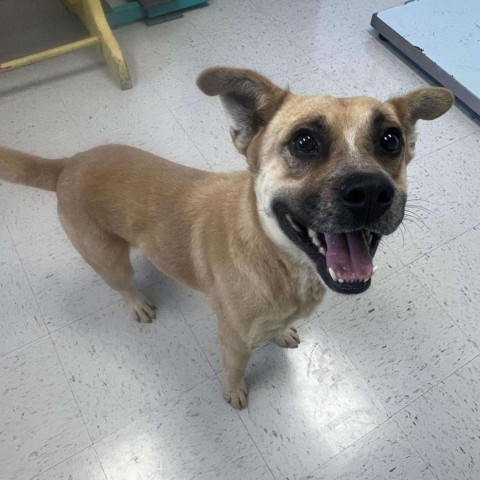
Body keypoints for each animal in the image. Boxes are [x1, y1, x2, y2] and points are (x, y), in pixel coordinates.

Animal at [0, 68, 452, 408]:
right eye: (304, 141)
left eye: (390, 140)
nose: (372, 192)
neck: (279, 260)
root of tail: (68, 164)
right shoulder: (233, 341)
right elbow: (235, 371)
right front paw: (235, 393)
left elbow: (280, 327)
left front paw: (282, 332)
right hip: (107, 259)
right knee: (122, 283)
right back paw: (137, 302)